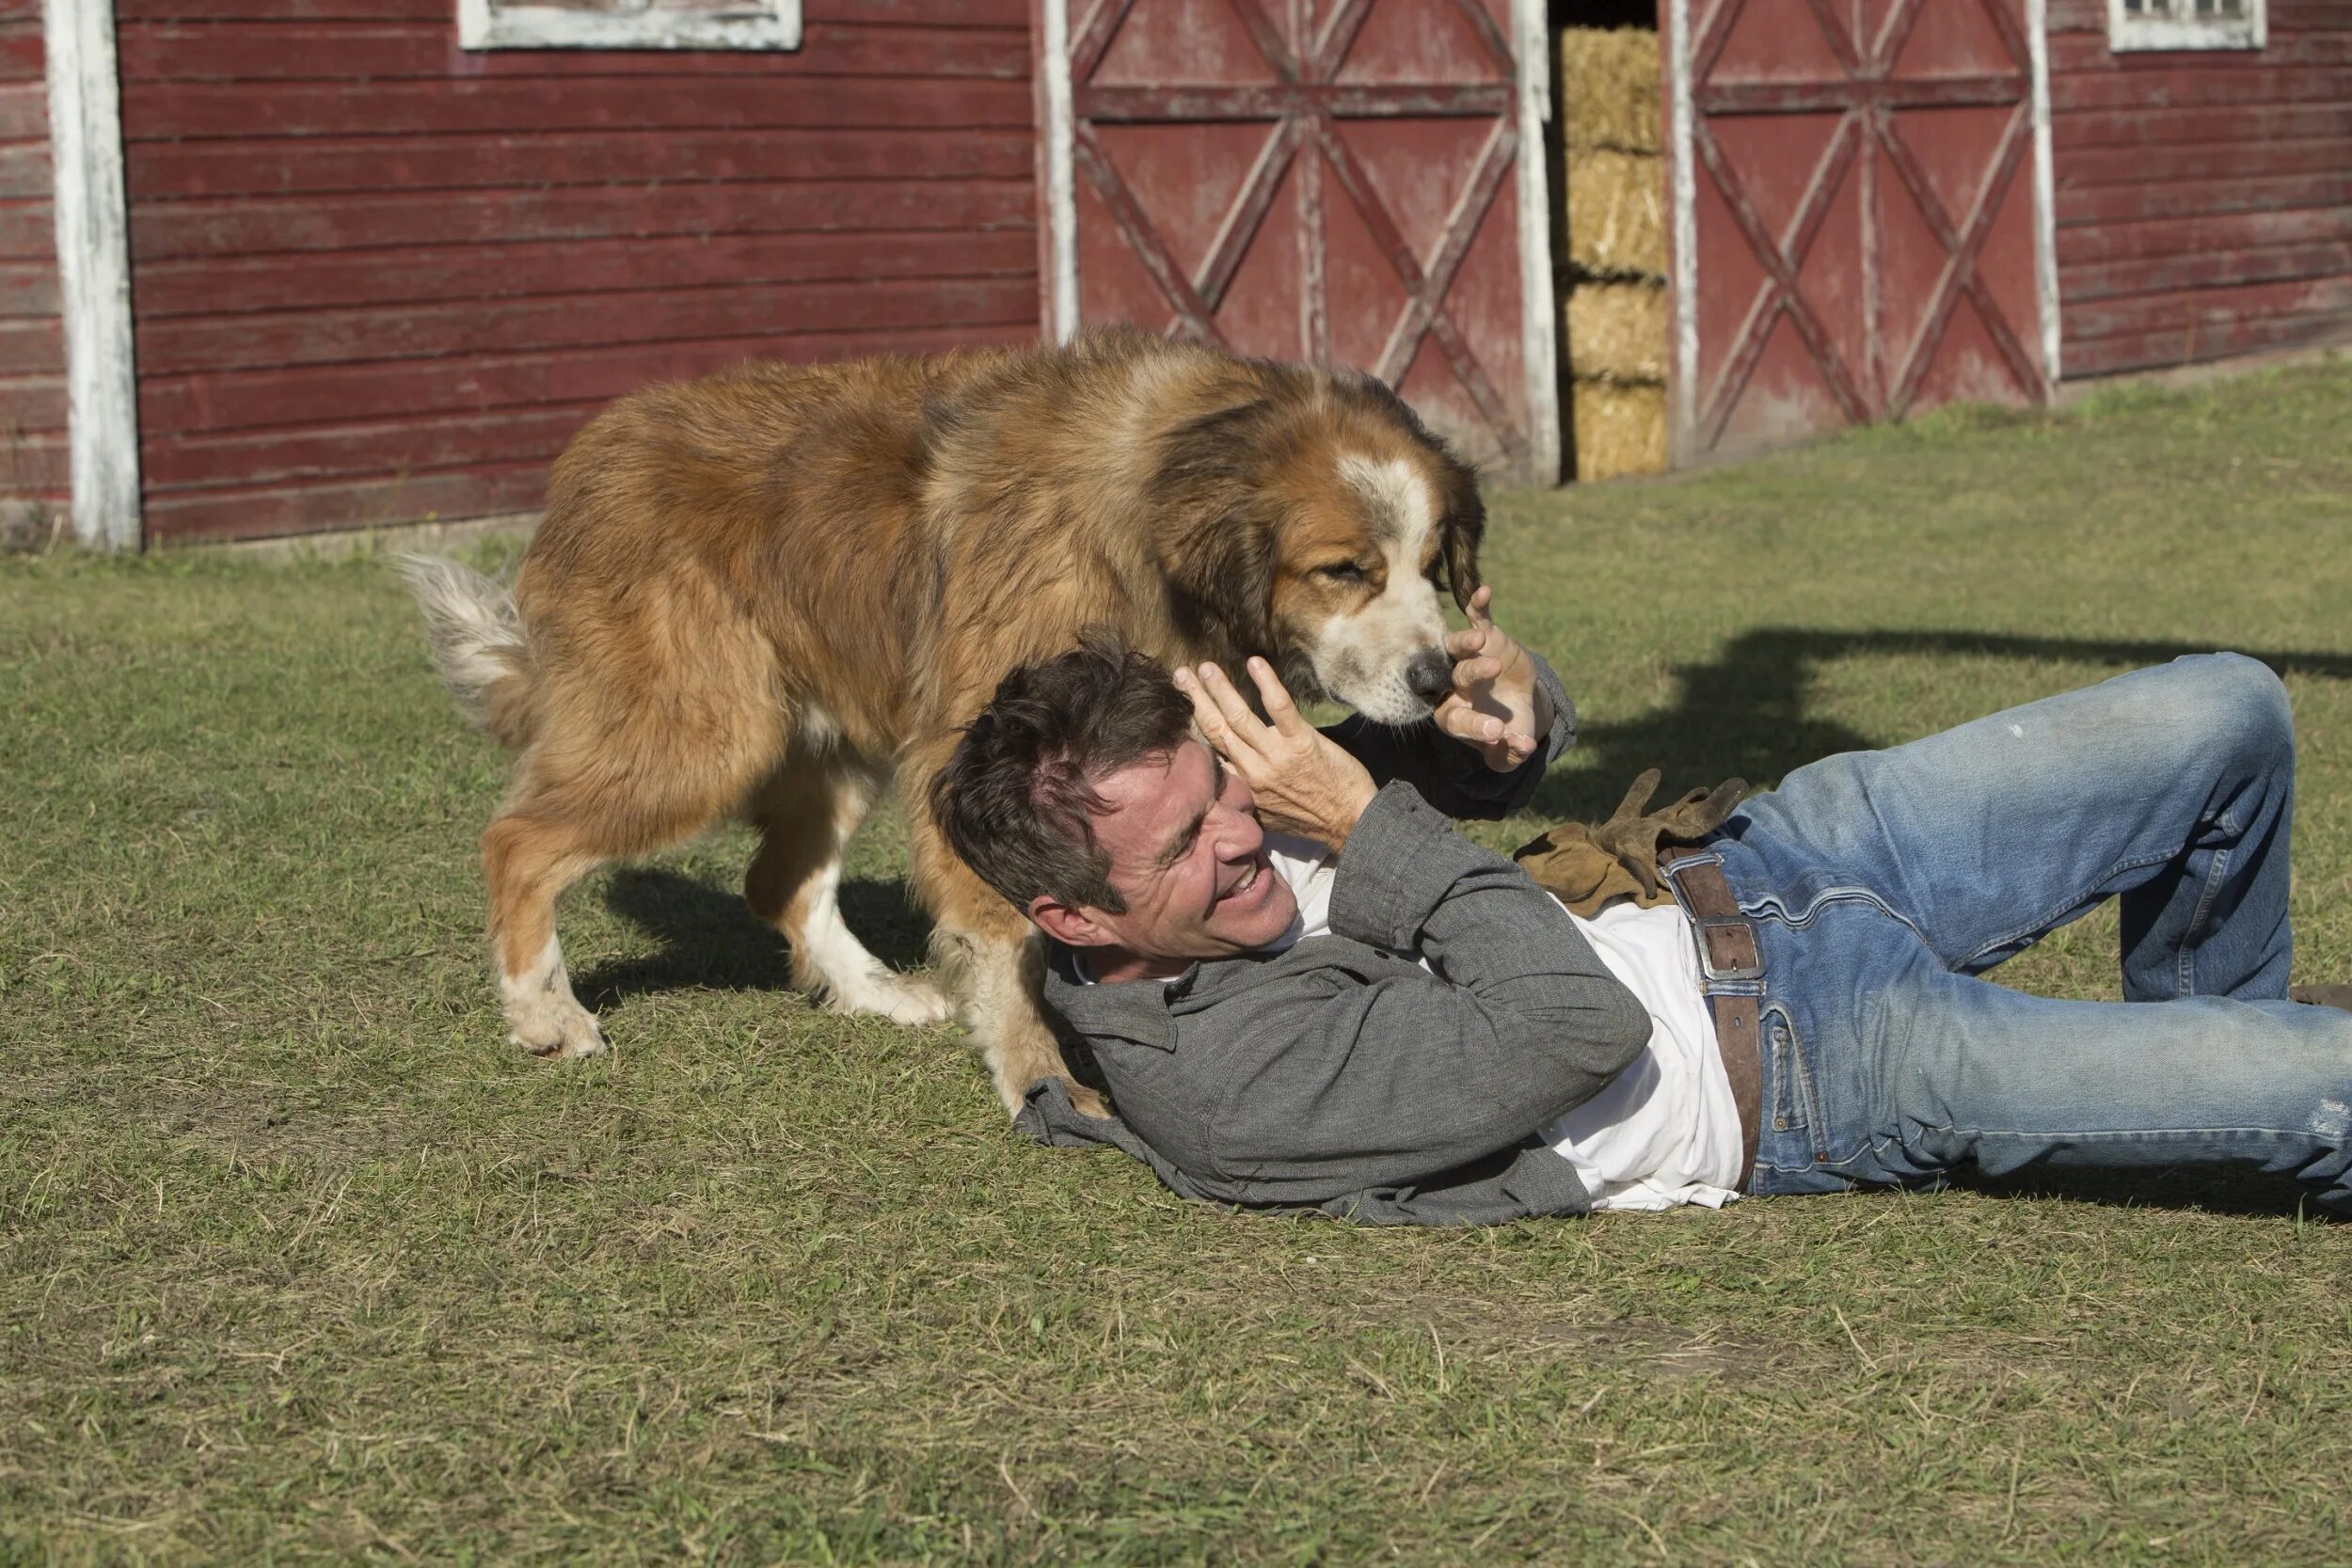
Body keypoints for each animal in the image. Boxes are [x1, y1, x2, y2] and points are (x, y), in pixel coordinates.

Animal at [400, 328, 1468, 1114]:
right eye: (1343, 571)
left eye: (1432, 562)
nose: (1438, 679)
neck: (1147, 509)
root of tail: (589, 456)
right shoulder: (982, 748)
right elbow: (1005, 937)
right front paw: (1039, 1075)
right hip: (703, 737)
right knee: (517, 841)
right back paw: (545, 1013)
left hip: (828, 746)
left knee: (779, 879)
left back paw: (872, 991)